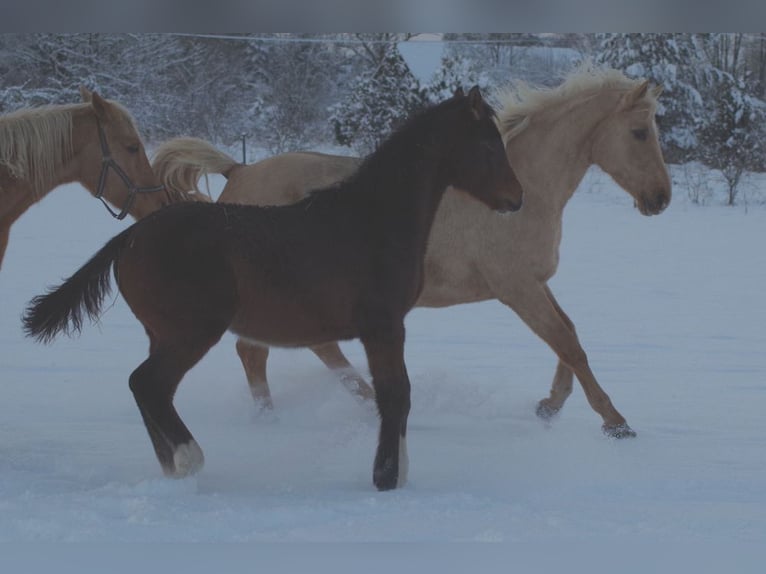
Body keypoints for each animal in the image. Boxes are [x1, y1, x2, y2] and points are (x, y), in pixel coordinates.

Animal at [25, 88, 528, 492]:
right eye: (488, 144)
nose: (517, 198)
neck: (371, 219)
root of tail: (129, 237)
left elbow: (395, 394)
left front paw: (396, 473)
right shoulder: (382, 326)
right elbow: (395, 393)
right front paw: (387, 477)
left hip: (163, 334)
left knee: (150, 389)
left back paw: (174, 470)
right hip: (191, 333)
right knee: (148, 384)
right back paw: (191, 460)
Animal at [154, 66, 672, 440]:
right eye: (640, 132)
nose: (661, 199)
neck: (525, 191)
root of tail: (238, 172)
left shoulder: (535, 283)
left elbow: (569, 335)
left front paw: (550, 406)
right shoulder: (517, 288)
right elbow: (567, 342)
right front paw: (615, 421)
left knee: (300, 349)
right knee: (261, 350)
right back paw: (287, 417)